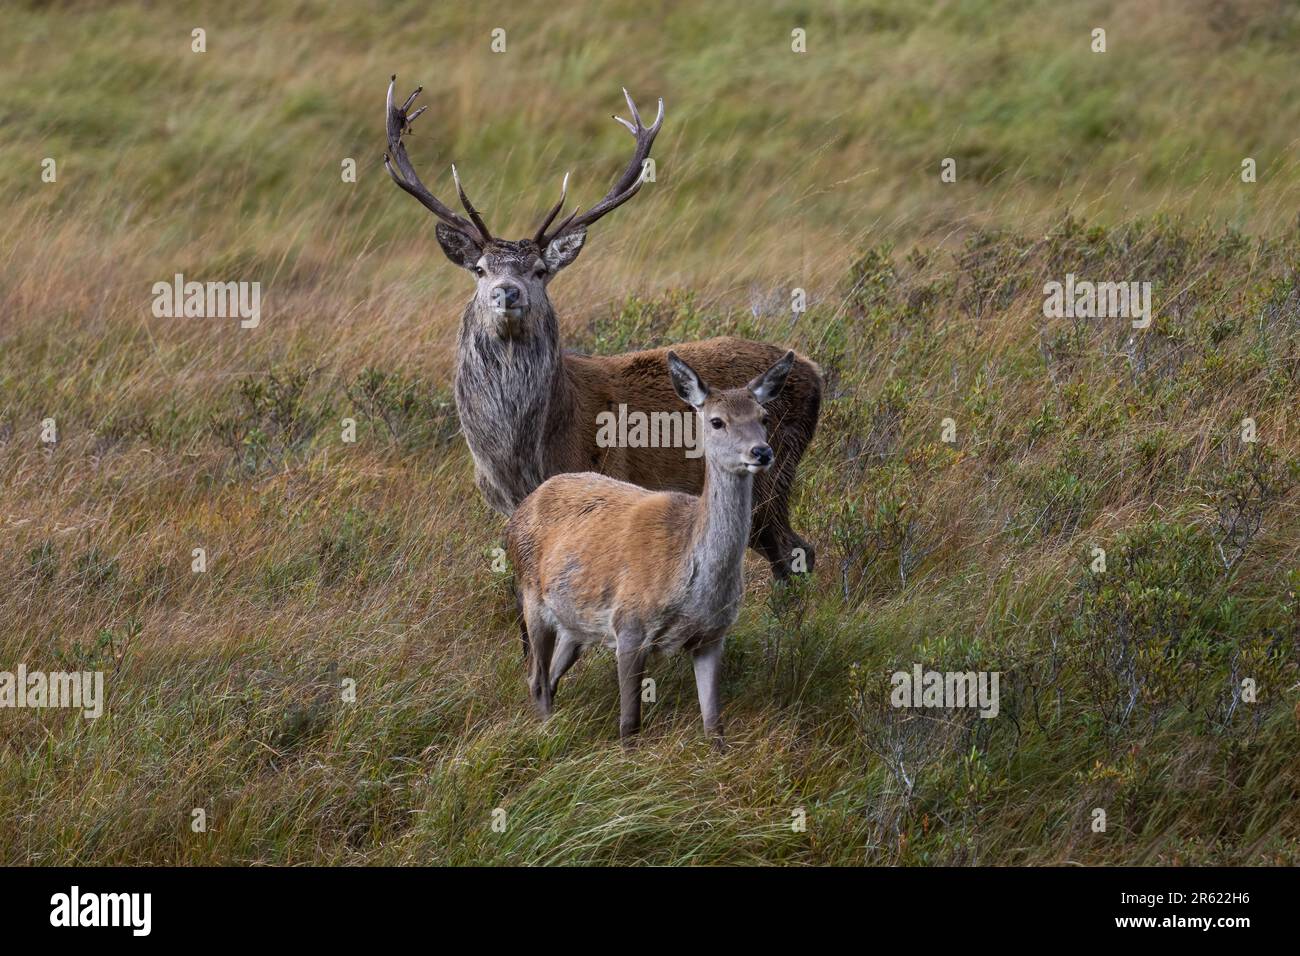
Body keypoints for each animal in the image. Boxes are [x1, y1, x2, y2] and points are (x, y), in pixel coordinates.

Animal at [379, 76, 821, 574]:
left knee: (795, 549)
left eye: (540, 271)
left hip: (771, 472)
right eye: (479, 269)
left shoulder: (605, 478)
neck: (525, 457)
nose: (506, 292)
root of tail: (815, 372)